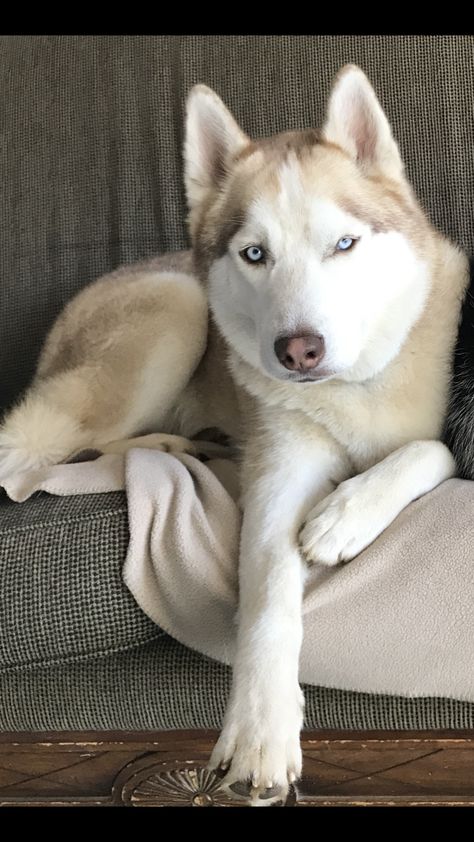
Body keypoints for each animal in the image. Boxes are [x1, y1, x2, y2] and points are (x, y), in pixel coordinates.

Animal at [0, 65, 466, 800]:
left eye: (344, 244)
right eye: (254, 254)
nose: (297, 351)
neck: (351, 389)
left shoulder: (434, 433)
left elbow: (430, 450)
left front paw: (345, 514)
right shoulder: (279, 471)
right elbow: (270, 592)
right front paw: (260, 729)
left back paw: (189, 444)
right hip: (177, 308)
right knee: (34, 456)